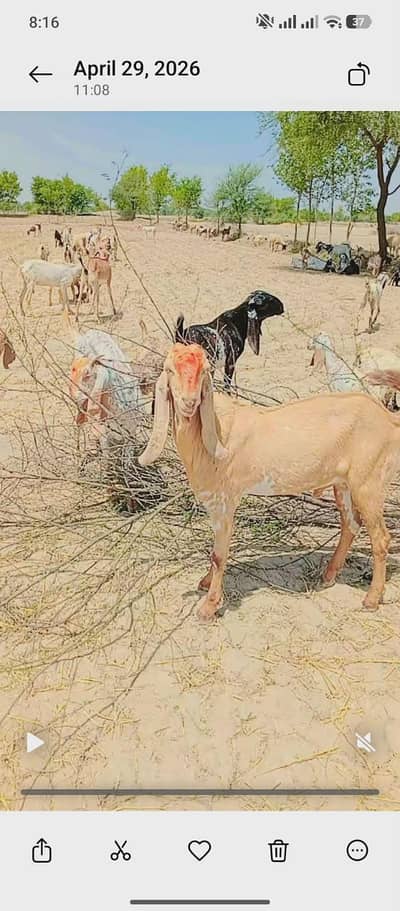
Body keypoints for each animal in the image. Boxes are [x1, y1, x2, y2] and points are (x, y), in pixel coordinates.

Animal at [140, 343, 400, 619]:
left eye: (205, 370)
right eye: (169, 369)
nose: (189, 402)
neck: (213, 434)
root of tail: (389, 420)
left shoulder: (225, 500)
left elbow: (219, 554)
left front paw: (209, 607)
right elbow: (214, 550)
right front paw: (205, 583)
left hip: (369, 483)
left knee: (380, 538)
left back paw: (371, 599)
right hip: (344, 484)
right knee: (351, 524)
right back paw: (328, 575)